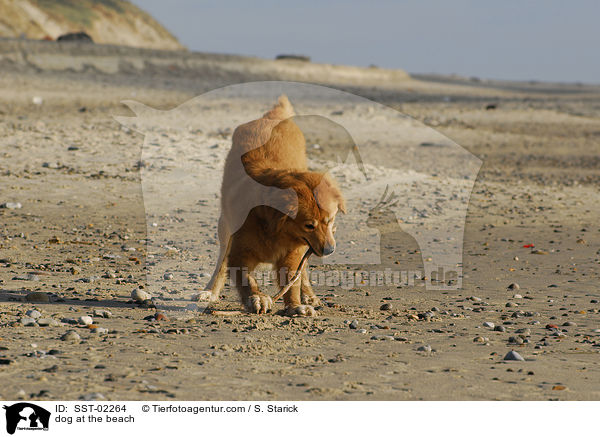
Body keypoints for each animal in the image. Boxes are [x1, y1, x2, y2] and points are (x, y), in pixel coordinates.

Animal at [200, 95, 344, 316]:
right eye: (308, 225)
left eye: (330, 221)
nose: (330, 250)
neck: (275, 229)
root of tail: (270, 119)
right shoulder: (239, 254)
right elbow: (245, 277)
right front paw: (257, 298)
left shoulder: (293, 254)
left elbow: (292, 281)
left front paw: (295, 305)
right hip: (224, 226)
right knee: (220, 262)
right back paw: (210, 291)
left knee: (302, 273)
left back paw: (308, 295)